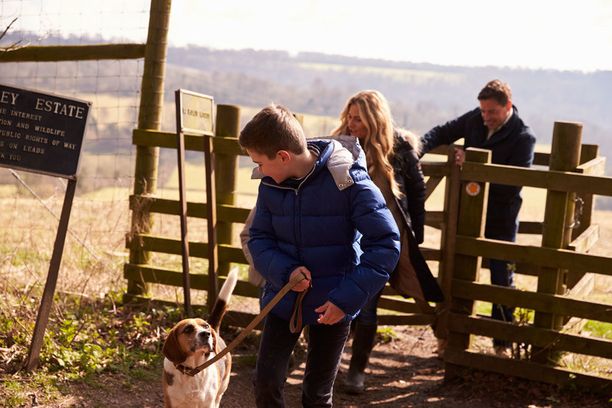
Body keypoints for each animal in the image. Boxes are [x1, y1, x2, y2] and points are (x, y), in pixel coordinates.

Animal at [161, 270, 238, 406]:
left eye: (205, 326)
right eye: (187, 329)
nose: (206, 333)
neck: (192, 372)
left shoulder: (208, 404)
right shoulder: (171, 402)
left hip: (220, 392)